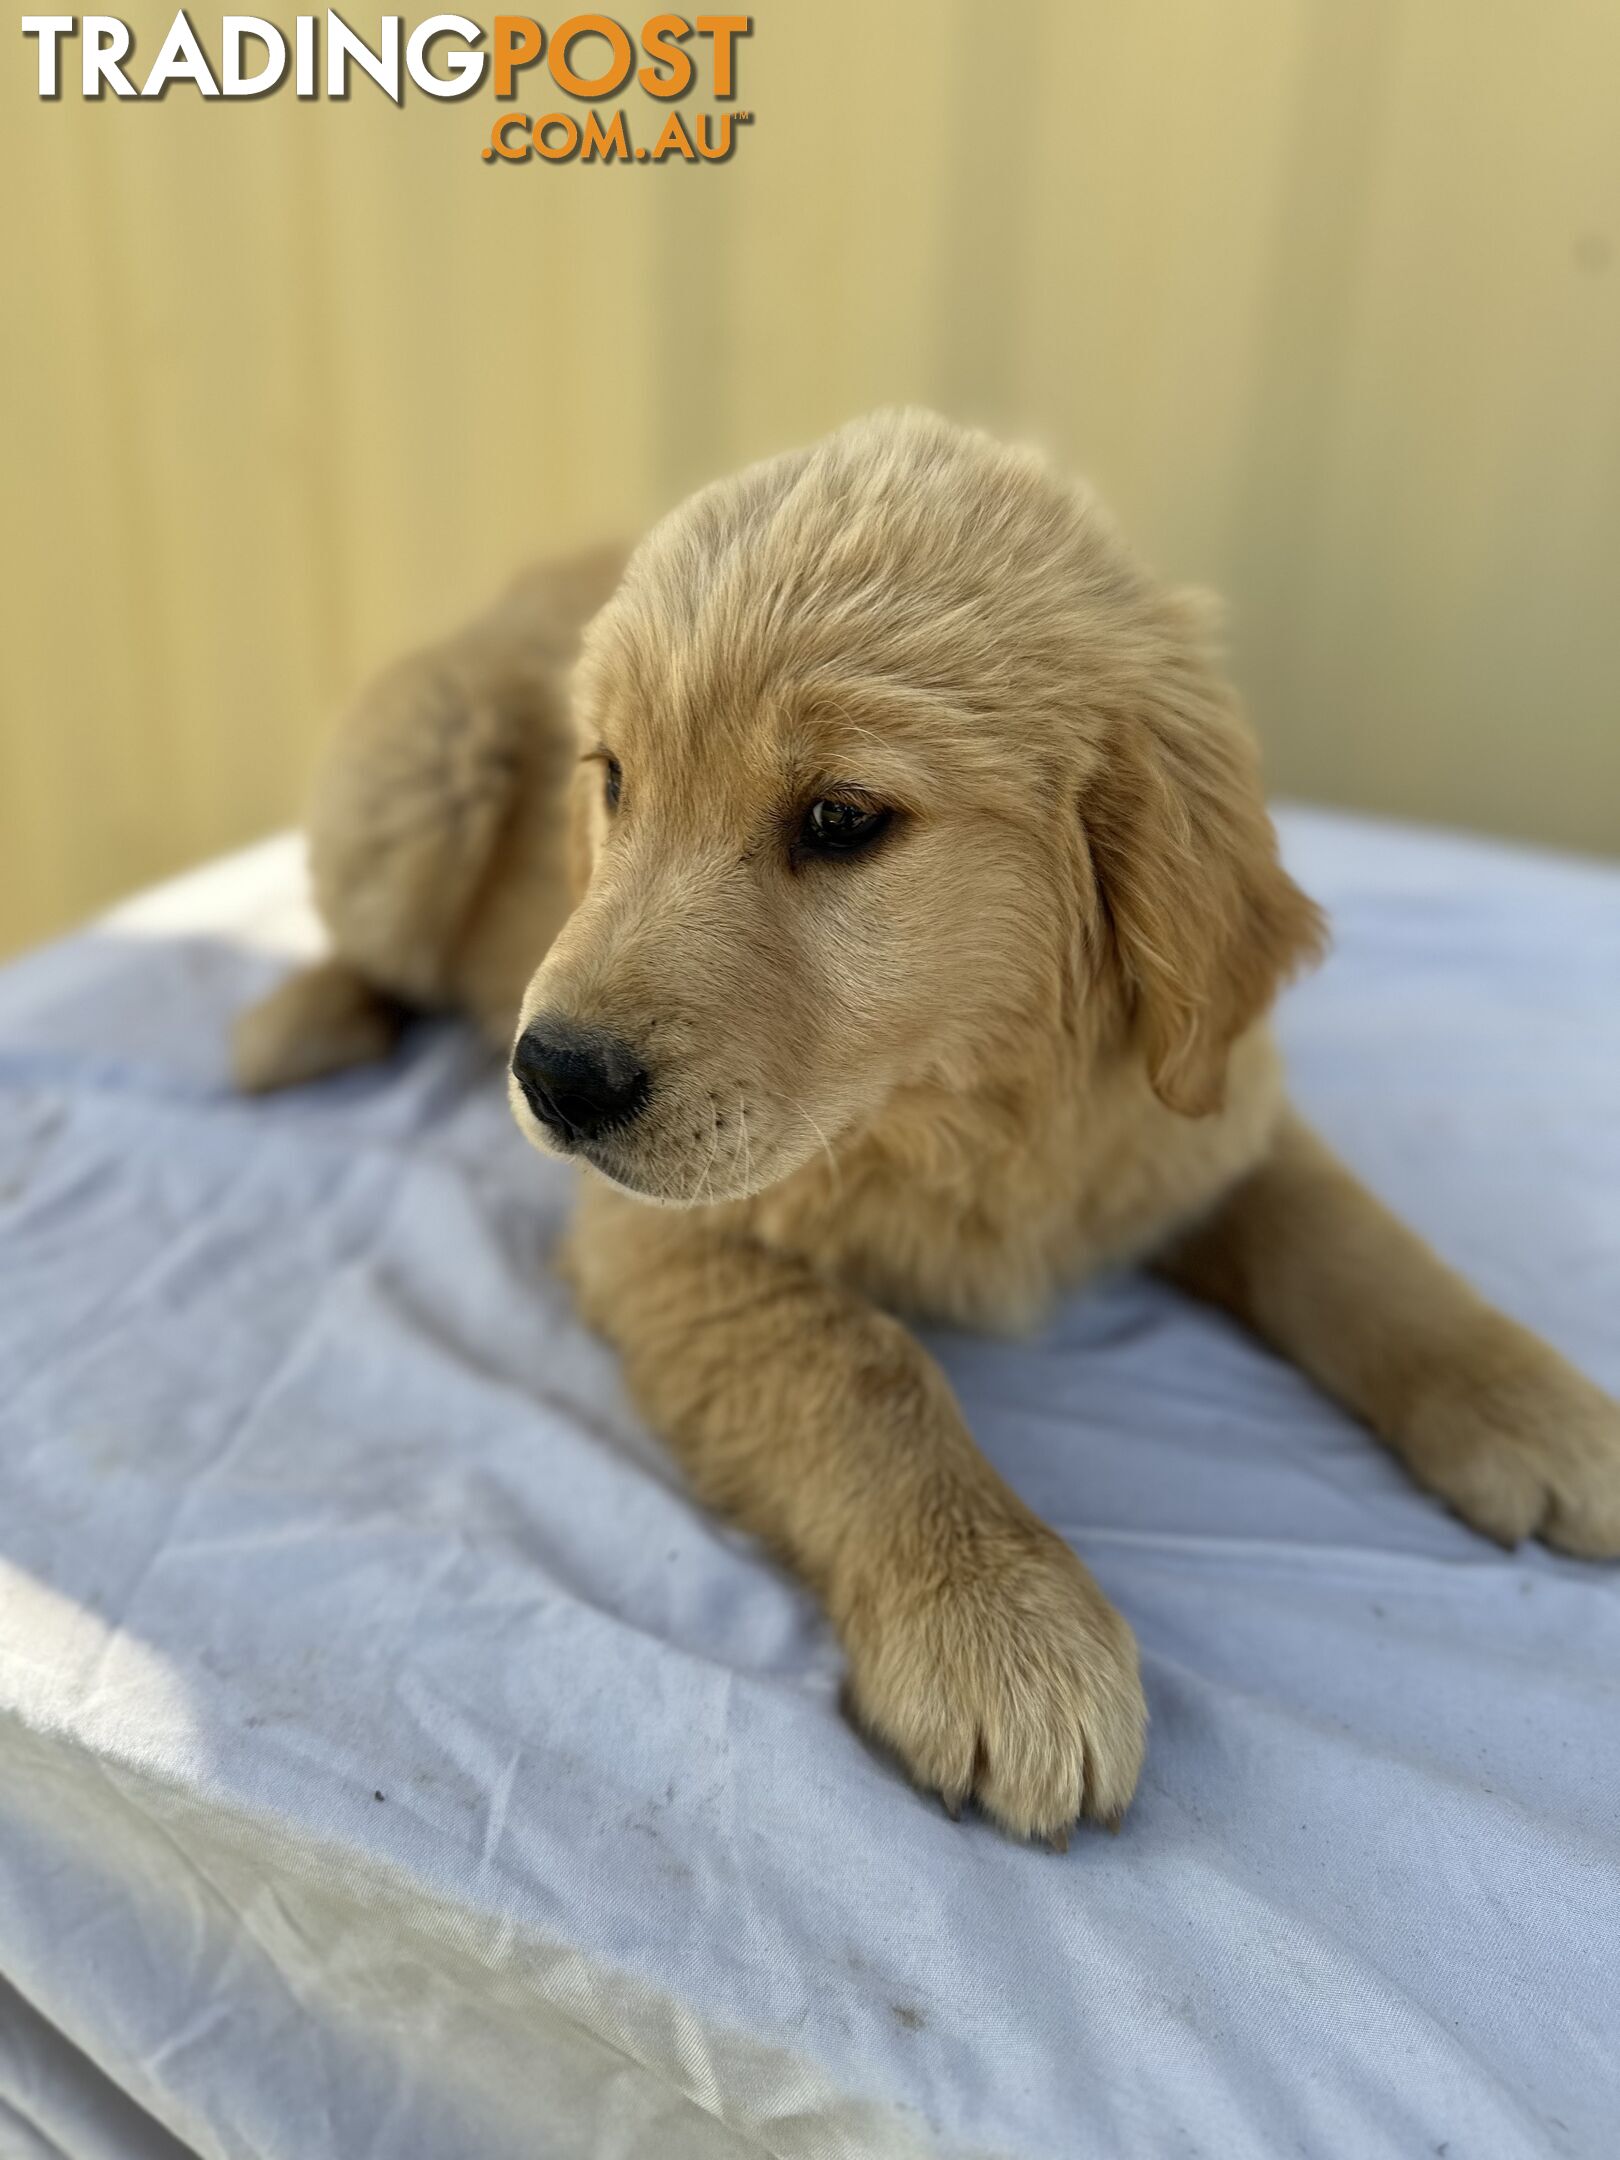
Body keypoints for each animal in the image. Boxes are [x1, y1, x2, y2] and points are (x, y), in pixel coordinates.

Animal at [237, 416, 1620, 1840]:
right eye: (613, 781)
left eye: (842, 819)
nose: (554, 1077)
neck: (968, 1111)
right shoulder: (667, 1234)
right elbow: (858, 1365)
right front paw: (1001, 1623)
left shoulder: (1199, 1111)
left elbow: (1356, 1244)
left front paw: (1534, 1405)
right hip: (419, 769)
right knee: (368, 945)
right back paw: (297, 1022)